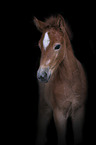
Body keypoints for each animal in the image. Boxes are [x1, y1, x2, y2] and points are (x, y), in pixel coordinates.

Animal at [33, 14, 87, 145]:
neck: (70, 81)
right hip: (44, 106)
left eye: (57, 46)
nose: (41, 75)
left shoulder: (79, 110)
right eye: (40, 46)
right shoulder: (59, 113)